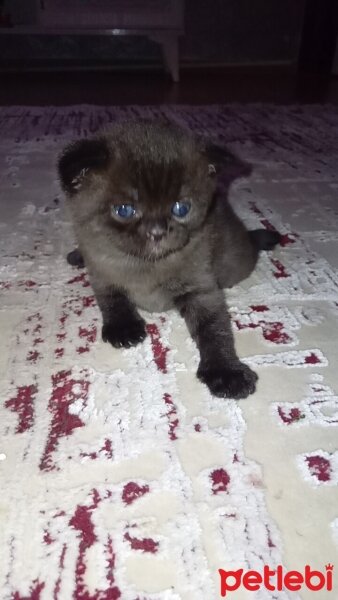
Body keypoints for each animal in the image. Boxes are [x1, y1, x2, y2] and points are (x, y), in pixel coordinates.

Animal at [58, 119, 280, 400]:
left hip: (237, 261)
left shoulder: (201, 288)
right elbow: (111, 300)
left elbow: (214, 329)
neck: (144, 265)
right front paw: (123, 327)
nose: (157, 232)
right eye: (124, 210)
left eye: (180, 208)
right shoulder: (101, 271)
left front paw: (226, 371)